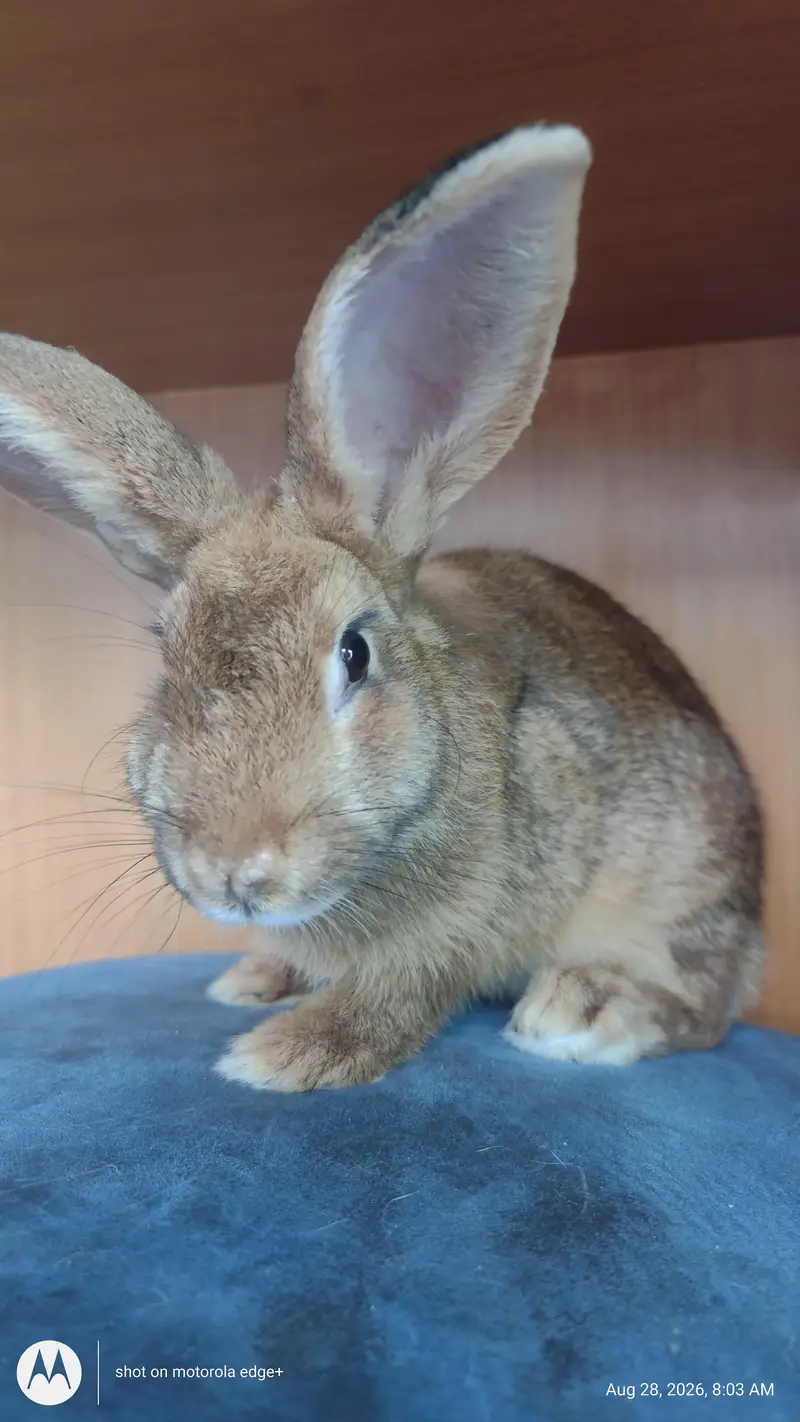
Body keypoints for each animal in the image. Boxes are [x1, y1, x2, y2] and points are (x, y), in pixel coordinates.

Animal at [0, 124, 764, 1091]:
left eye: (354, 653)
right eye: (165, 658)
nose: (233, 872)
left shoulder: (464, 926)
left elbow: (402, 996)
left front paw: (285, 1057)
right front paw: (264, 989)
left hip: (686, 875)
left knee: (703, 1000)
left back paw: (586, 1009)